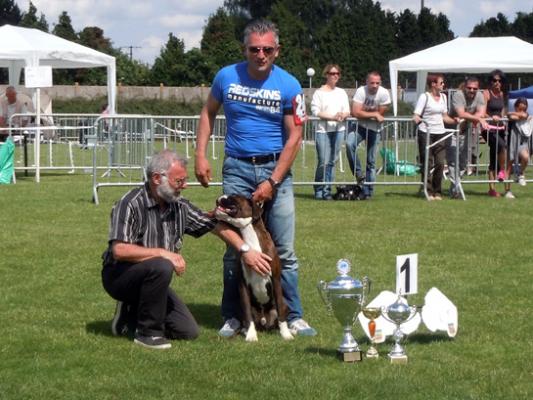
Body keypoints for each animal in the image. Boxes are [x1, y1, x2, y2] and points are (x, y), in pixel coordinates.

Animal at [214, 194, 294, 340]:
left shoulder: (275, 279)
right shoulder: (242, 284)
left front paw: (285, 334)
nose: (220, 197)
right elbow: (247, 315)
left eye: (233, 196)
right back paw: (245, 330)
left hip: (285, 305)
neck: (249, 236)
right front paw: (251, 335)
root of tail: (263, 320)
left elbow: (280, 311)